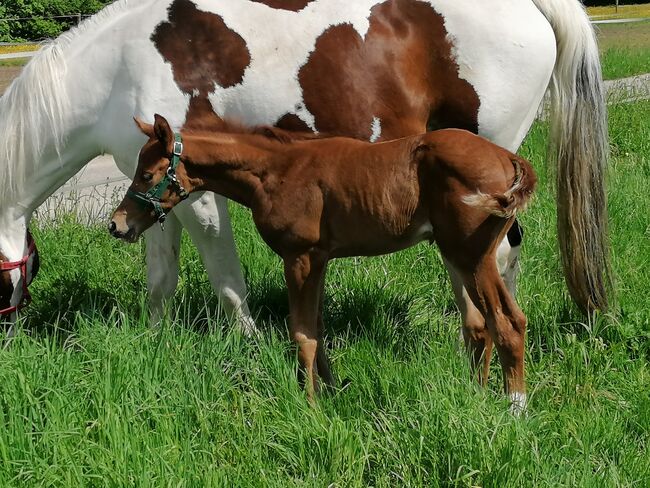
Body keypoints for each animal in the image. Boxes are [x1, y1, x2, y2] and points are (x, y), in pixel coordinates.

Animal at [0, 0, 608, 336]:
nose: (8, 337)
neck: (116, 69)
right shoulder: (149, 189)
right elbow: (160, 278)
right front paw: (153, 341)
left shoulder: (196, 192)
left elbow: (226, 278)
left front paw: (246, 345)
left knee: (495, 256)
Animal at [109, 114, 536, 408]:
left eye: (147, 174)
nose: (117, 224)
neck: (277, 170)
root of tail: (507, 158)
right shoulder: (320, 259)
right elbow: (316, 326)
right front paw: (330, 391)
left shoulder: (299, 256)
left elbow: (301, 332)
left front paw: (309, 404)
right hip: (456, 255)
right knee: (479, 325)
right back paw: (477, 396)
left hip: (472, 256)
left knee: (507, 322)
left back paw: (515, 408)